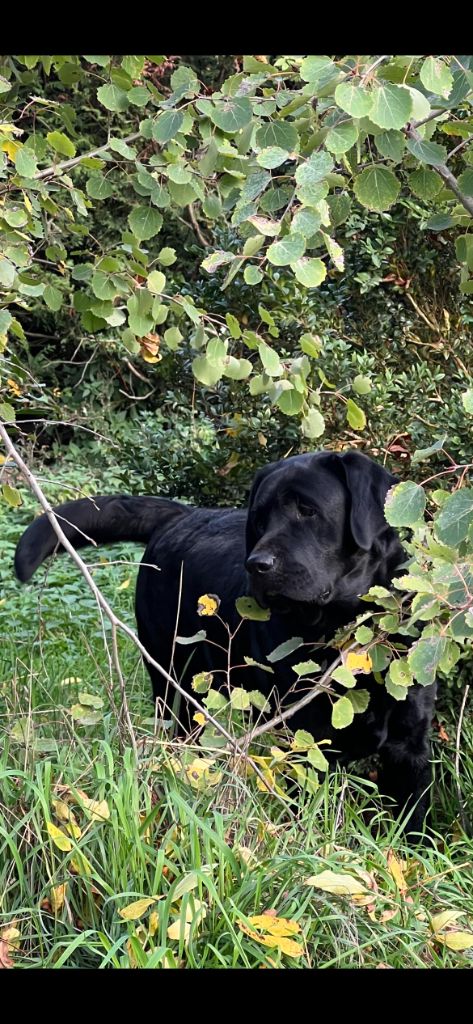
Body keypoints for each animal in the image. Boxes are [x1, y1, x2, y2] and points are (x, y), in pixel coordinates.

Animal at [14, 452, 436, 835]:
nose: (258, 565)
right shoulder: (304, 746)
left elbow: (413, 824)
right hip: (174, 686)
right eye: (260, 520)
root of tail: (182, 516)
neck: (342, 632)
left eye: (307, 510)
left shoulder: (409, 749)